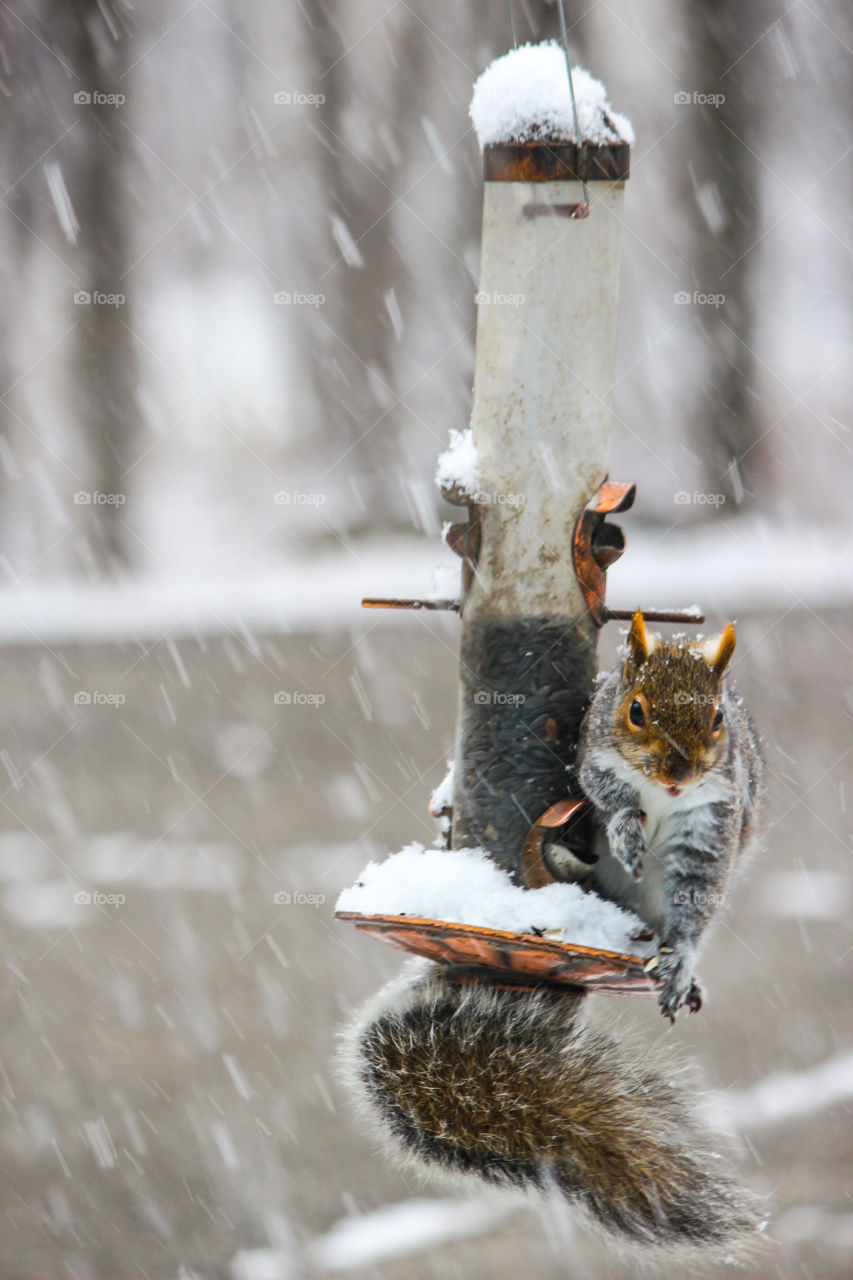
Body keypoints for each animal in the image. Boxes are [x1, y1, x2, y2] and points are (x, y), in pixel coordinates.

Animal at [579, 610, 764, 1021]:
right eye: (635, 711)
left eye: (718, 717)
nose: (679, 776)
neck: (661, 796)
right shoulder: (595, 762)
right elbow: (607, 795)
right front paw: (628, 834)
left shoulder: (711, 819)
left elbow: (696, 893)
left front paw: (680, 960)